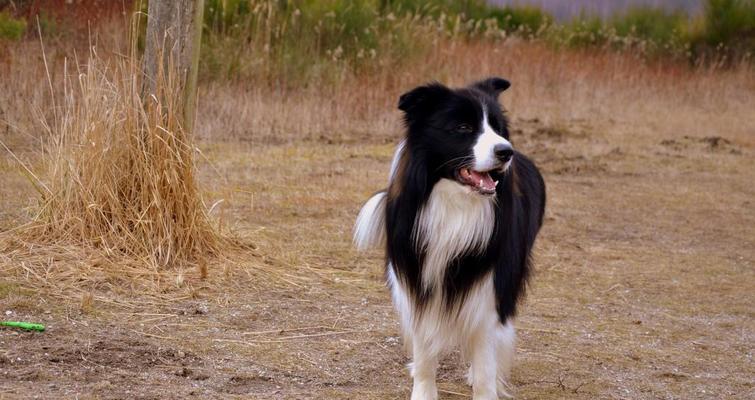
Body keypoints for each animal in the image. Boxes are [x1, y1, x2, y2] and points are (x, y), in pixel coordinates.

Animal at [358, 76, 548, 398]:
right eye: (463, 128)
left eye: (498, 128)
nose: (505, 151)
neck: (454, 208)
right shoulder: (417, 279)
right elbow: (425, 353)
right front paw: (423, 390)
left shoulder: (489, 291)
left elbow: (485, 364)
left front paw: (484, 386)